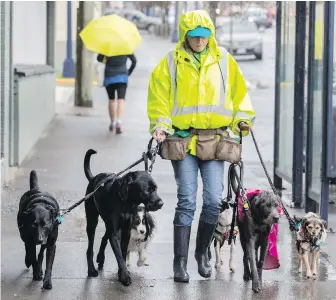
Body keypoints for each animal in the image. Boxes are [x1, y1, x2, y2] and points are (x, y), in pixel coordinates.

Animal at [83, 149, 163, 286]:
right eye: (147, 190)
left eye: (155, 188)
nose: (161, 203)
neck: (126, 202)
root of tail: (93, 179)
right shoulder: (116, 233)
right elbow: (120, 255)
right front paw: (125, 276)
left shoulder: (126, 231)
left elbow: (123, 251)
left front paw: (122, 273)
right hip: (92, 221)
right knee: (90, 248)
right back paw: (91, 269)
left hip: (108, 225)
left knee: (104, 238)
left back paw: (101, 258)